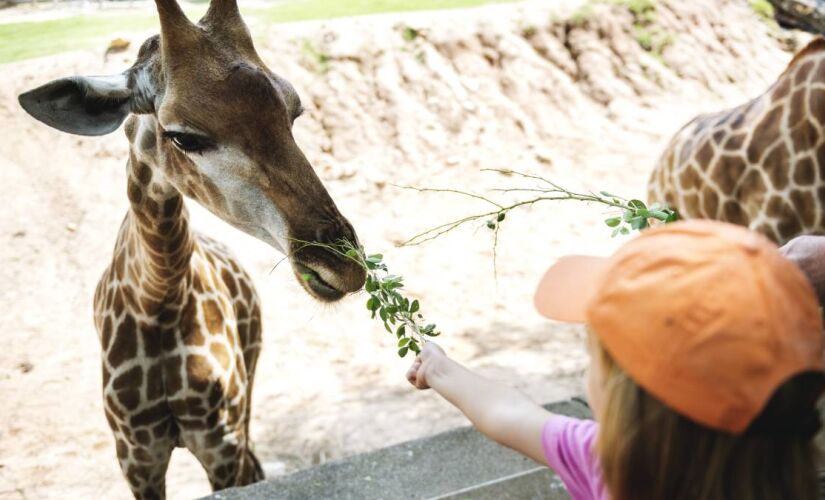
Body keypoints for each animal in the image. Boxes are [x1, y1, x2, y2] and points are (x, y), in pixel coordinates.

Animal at [14, 1, 364, 498]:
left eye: (293, 112)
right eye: (183, 136)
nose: (342, 266)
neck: (158, 298)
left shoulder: (219, 441)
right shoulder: (136, 456)